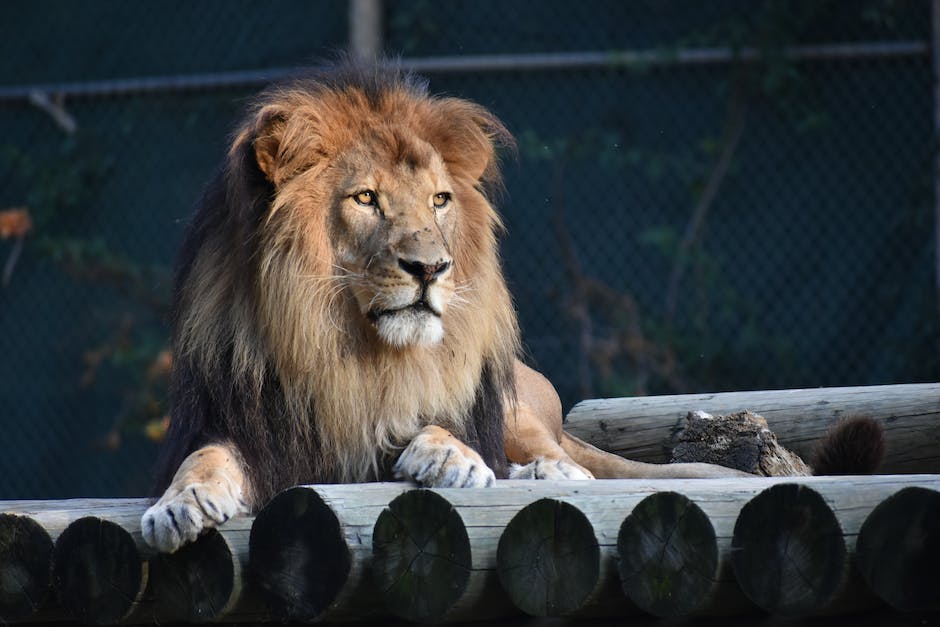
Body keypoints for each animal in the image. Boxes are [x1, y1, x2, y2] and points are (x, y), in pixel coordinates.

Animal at [141, 61, 880, 556]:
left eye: (439, 200)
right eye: (366, 199)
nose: (430, 268)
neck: (349, 352)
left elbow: (440, 427)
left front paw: (450, 457)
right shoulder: (246, 426)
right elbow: (204, 458)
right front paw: (178, 505)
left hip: (521, 403)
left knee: (563, 459)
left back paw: (542, 468)